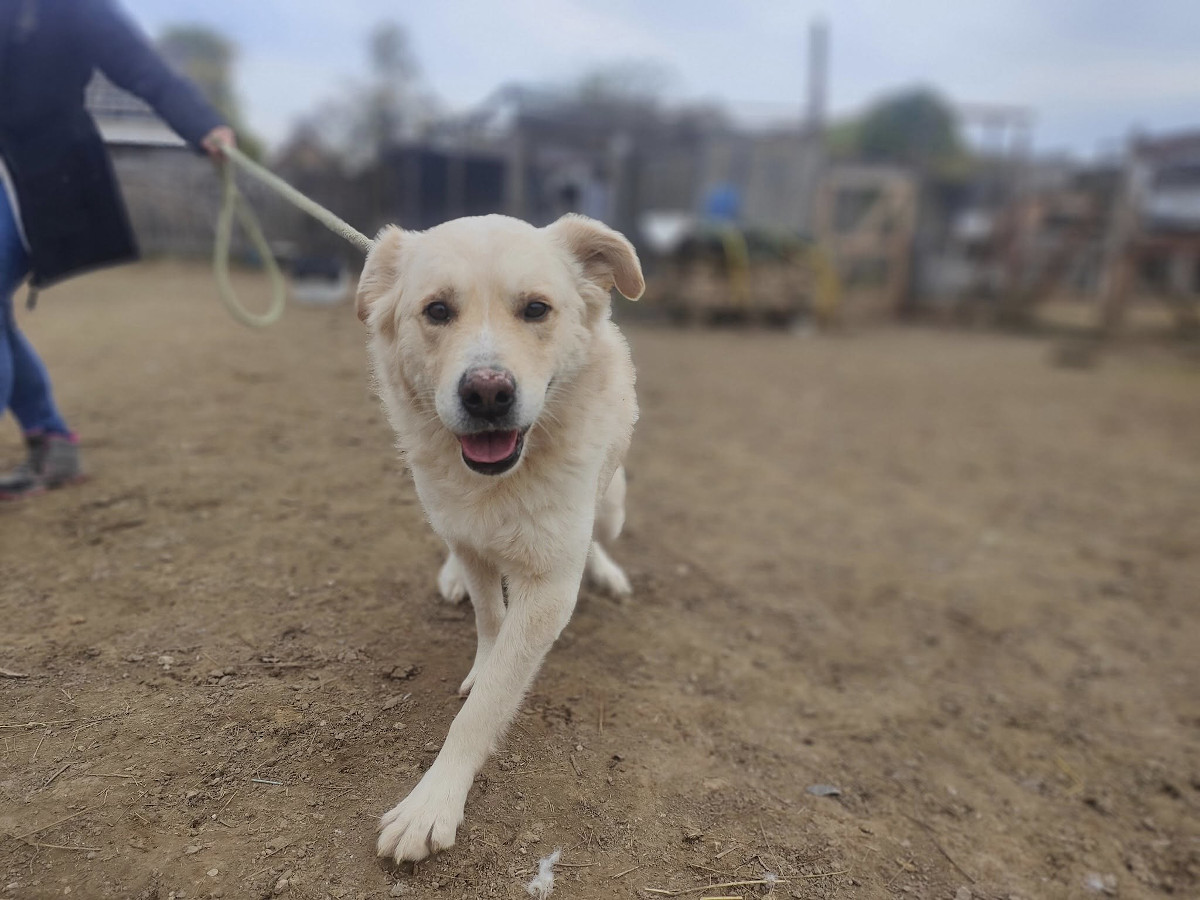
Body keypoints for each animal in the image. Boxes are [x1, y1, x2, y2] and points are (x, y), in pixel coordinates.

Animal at [356, 213, 644, 863]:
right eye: (437, 311)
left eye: (536, 309)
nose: (487, 392)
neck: (501, 484)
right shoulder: (470, 541)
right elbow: (489, 619)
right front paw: (483, 657)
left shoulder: (550, 590)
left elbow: (483, 708)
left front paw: (431, 803)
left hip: (612, 505)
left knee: (600, 530)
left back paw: (608, 571)